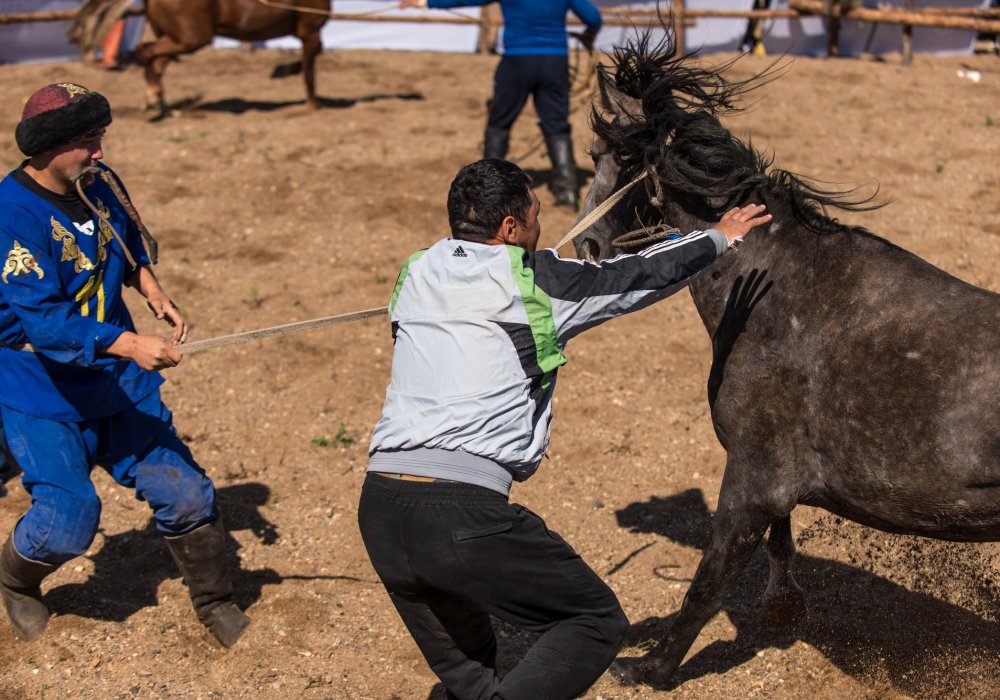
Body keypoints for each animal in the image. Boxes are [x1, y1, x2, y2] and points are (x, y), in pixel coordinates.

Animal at [133, 0, 326, 116]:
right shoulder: (310, 31)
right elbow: (309, 71)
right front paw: (314, 105)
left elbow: (314, 56)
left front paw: (284, 70)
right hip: (190, 39)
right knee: (145, 51)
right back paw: (155, 94)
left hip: (176, 38)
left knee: (155, 63)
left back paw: (160, 105)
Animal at [572, 32, 1000, 688]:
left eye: (606, 153)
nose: (587, 246)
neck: (781, 290)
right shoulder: (770, 480)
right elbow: (778, 542)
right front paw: (783, 605)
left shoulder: (753, 477)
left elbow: (708, 583)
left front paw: (651, 667)